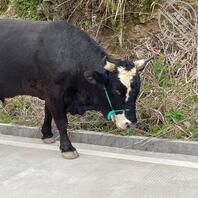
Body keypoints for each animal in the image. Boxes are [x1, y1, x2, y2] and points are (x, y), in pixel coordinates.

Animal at [0, 19, 153, 159]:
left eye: (137, 90)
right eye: (117, 90)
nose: (130, 123)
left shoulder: (50, 94)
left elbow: (48, 113)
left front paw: (47, 135)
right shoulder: (54, 93)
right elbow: (61, 121)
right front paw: (67, 148)